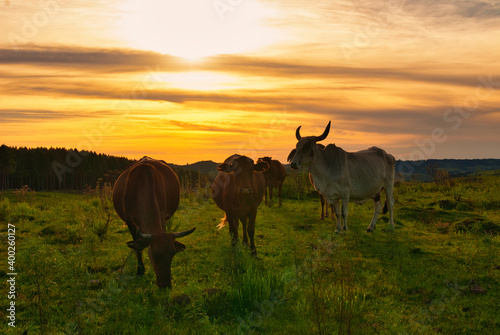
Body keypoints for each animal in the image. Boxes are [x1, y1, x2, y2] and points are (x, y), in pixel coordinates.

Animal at [113, 158, 195, 288]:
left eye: (173, 254)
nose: (165, 284)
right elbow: (138, 248)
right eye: (154, 255)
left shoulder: (163, 217)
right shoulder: (130, 223)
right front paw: (140, 271)